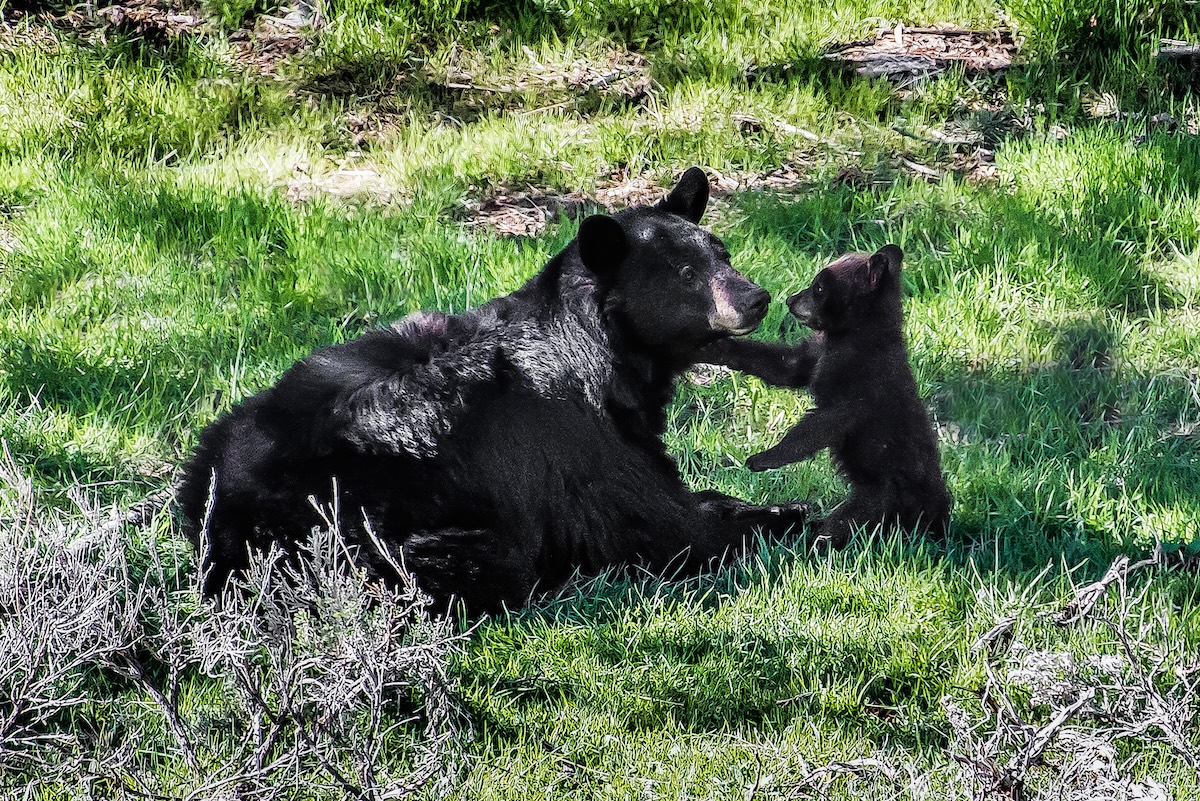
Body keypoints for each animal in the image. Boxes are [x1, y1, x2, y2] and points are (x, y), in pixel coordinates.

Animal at [176, 167, 810, 614]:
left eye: (722, 253)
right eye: (685, 274)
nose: (757, 297)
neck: (602, 352)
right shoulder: (575, 441)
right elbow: (662, 524)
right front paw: (784, 514)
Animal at [699, 244, 951, 547]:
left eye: (819, 287)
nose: (790, 300)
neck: (852, 335)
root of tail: (937, 511)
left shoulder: (860, 388)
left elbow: (820, 426)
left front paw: (763, 458)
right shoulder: (818, 354)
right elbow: (785, 365)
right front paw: (717, 347)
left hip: (881, 494)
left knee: (847, 522)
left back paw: (816, 540)